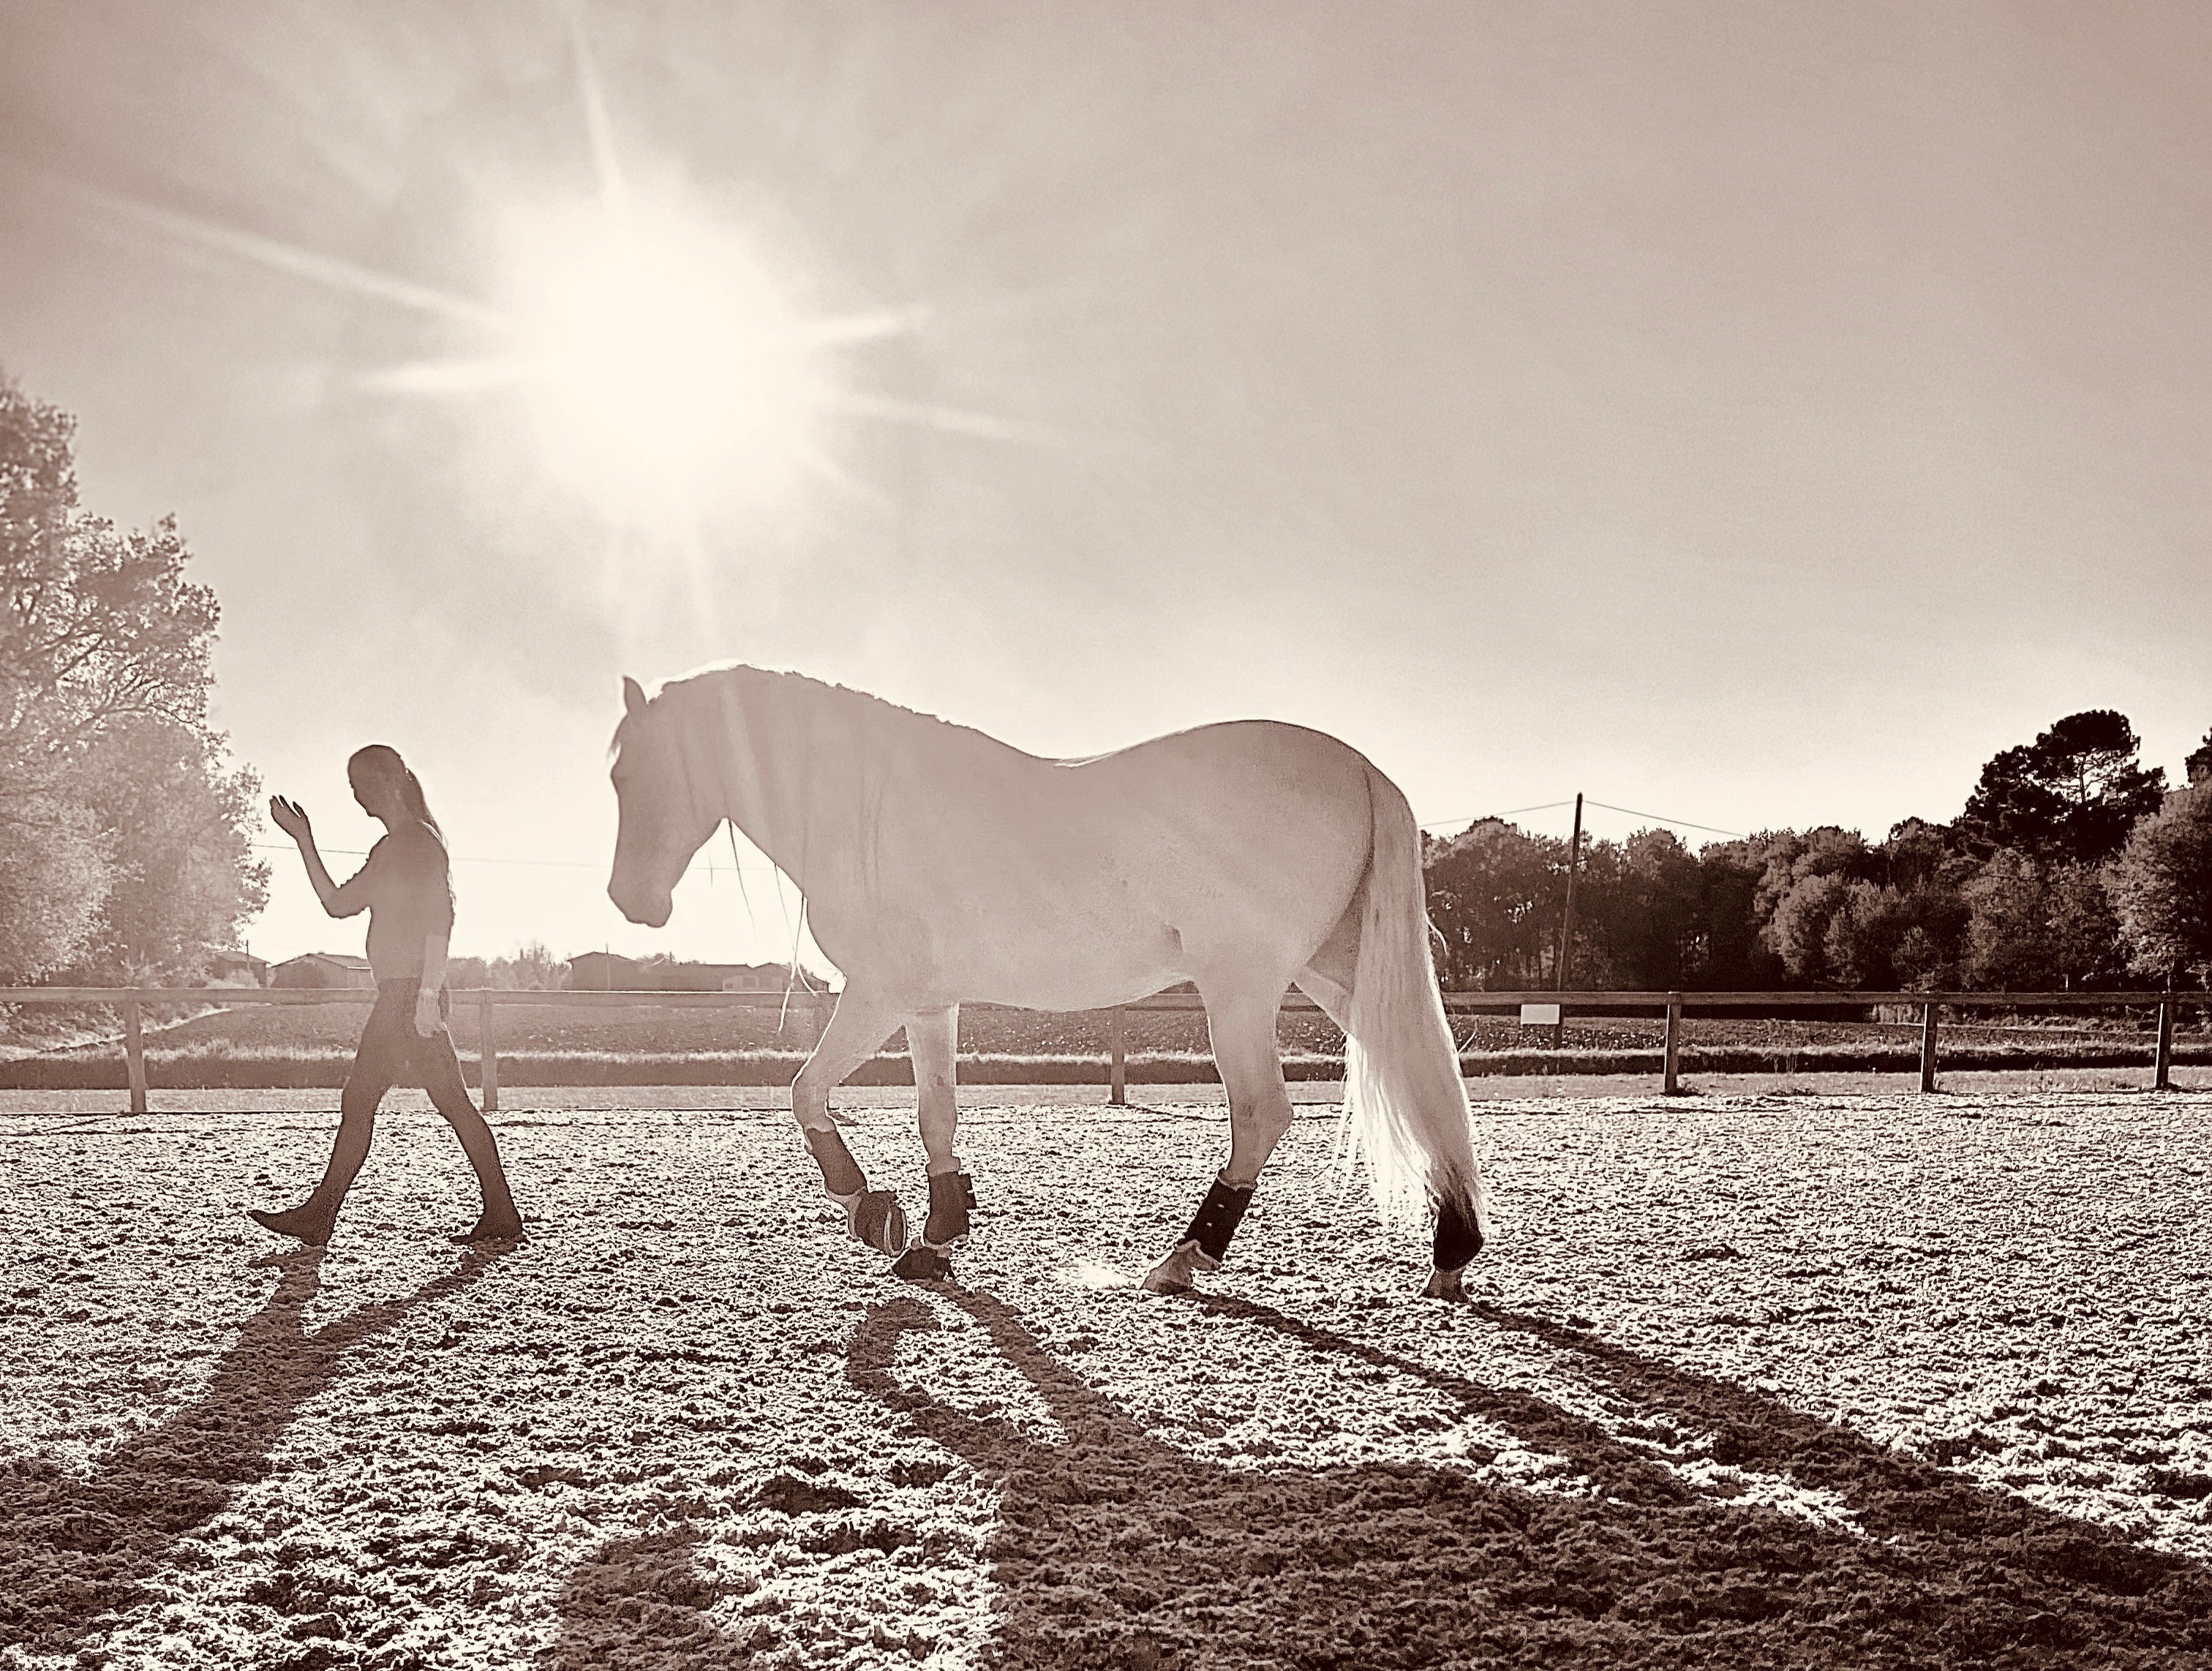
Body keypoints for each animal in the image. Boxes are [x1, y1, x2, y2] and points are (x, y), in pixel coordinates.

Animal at [604, 666, 1489, 1297]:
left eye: (633, 773)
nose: (631, 901)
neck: (867, 807)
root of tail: (1361, 768)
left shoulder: (877, 995)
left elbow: (804, 1092)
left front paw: (871, 1210)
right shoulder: (929, 1003)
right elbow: (934, 1114)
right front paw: (936, 1235)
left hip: (1240, 988)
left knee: (1263, 1113)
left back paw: (1183, 1257)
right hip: (1336, 973)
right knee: (1420, 1074)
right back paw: (1452, 1249)